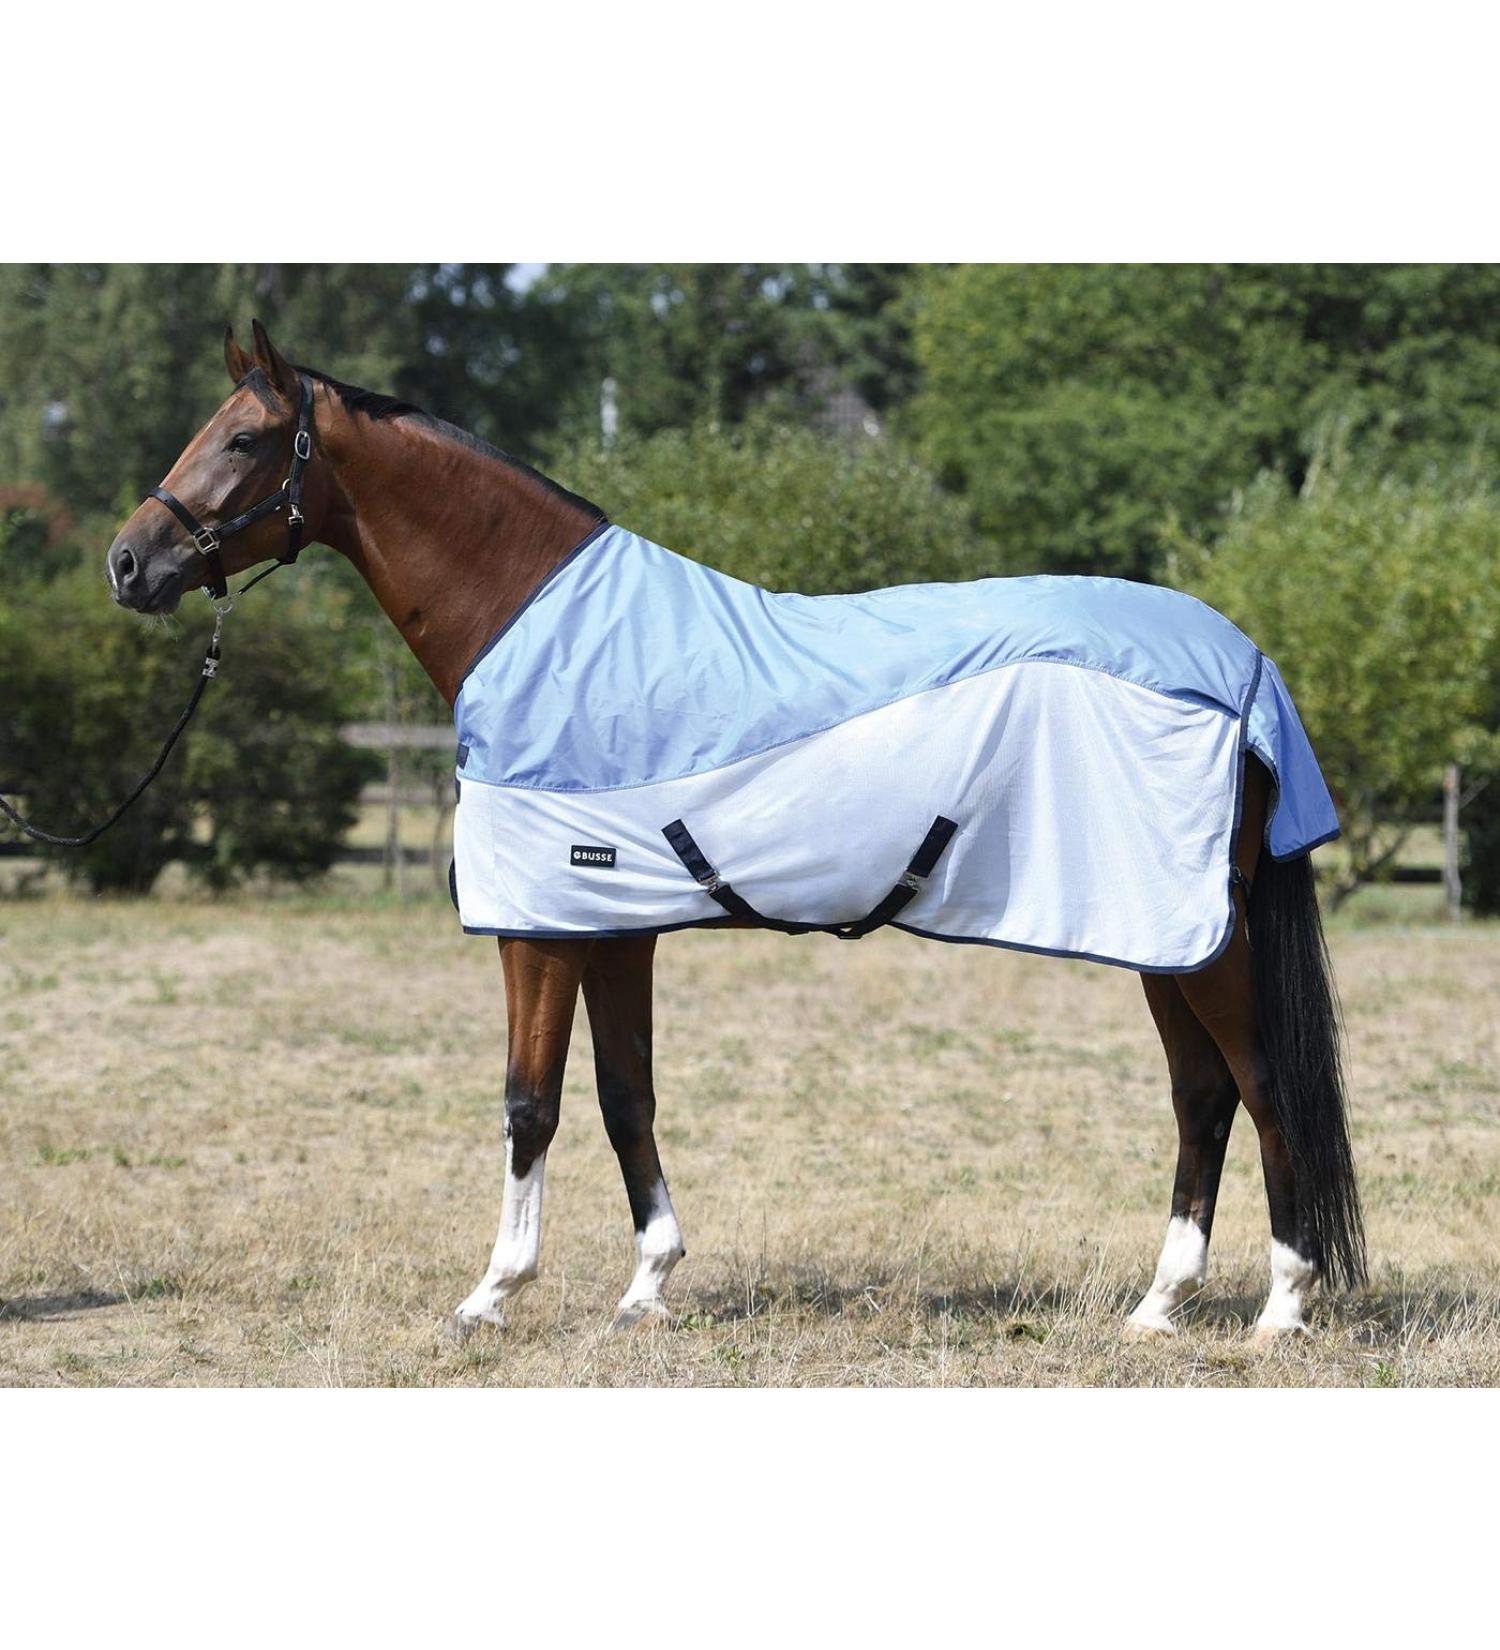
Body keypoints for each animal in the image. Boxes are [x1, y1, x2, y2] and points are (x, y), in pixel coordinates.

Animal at [103, 320, 1365, 1342]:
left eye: (243, 440)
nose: (129, 563)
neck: (543, 631)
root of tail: (1247, 670)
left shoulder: (541, 927)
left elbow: (529, 1101)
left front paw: (492, 1294)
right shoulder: (611, 923)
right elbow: (626, 1096)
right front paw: (647, 1286)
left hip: (1202, 941)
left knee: (1262, 1089)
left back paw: (1283, 1308)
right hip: (1162, 935)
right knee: (1202, 1098)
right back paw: (1160, 1306)